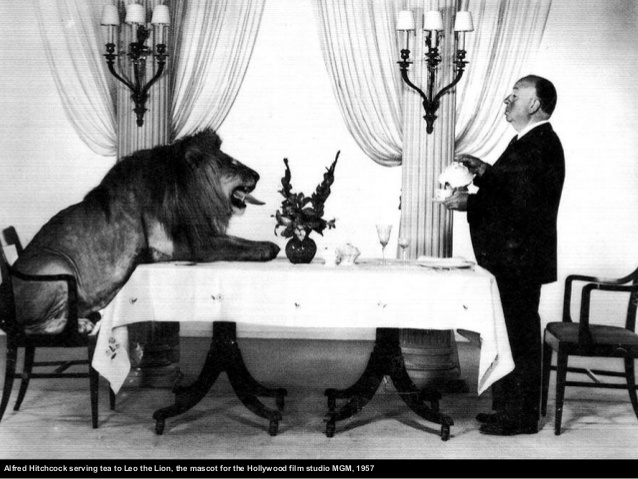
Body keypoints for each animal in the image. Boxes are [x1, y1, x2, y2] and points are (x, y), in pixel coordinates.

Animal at [12, 128, 280, 334]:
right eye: (232, 163)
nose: (257, 175)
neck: (188, 193)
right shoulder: (186, 245)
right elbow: (233, 244)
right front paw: (269, 247)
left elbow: (235, 239)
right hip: (59, 267)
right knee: (30, 327)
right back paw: (81, 325)